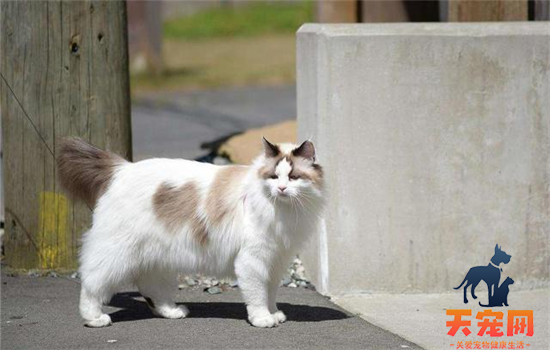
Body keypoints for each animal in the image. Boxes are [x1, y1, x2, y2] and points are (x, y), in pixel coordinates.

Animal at [57, 136, 324, 328]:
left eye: (293, 177)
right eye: (274, 176)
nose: (281, 189)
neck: (284, 211)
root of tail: (122, 168)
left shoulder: (276, 260)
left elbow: (270, 293)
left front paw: (274, 313)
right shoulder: (253, 261)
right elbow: (258, 296)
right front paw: (262, 319)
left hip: (157, 255)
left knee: (150, 287)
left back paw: (172, 311)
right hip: (116, 253)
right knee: (92, 284)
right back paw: (94, 318)